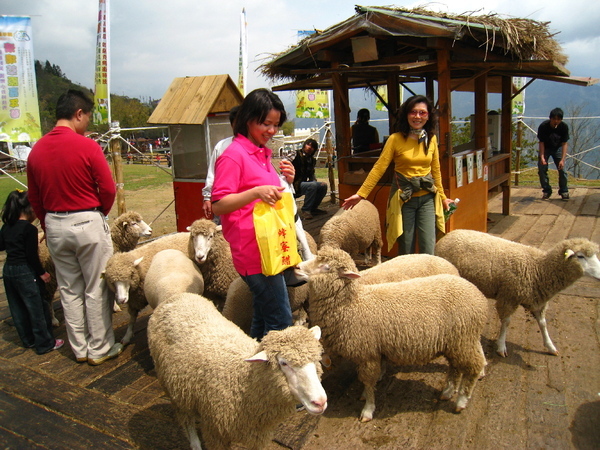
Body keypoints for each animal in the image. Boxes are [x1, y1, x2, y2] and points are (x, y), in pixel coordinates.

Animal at [149, 292, 328, 450]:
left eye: (316, 359)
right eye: (284, 363)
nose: (320, 402)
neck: (242, 381)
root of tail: (176, 297)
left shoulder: (258, 436)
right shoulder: (215, 433)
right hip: (173, 389)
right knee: (186, 421)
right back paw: (195, 444)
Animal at [298, 246, 490, 422]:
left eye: (326, 267)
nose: (297, 267)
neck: (352, 304)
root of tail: (477, 294)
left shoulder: (367, 354)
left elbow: (368, 382)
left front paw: (368, 409)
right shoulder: (375, 350)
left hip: (464, 340)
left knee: (473, 365)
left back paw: (462, 400)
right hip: (456, 342)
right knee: (456, 366)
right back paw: (449, 391)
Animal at [434, 230, 600, 356]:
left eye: (595, 256)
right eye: (580, 256)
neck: (539, 268)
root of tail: (448, 235)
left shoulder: (537, 300)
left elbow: (543, 323)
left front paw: (550, 346)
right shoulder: (509, 297)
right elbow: (507, 322)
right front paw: (501, 346)